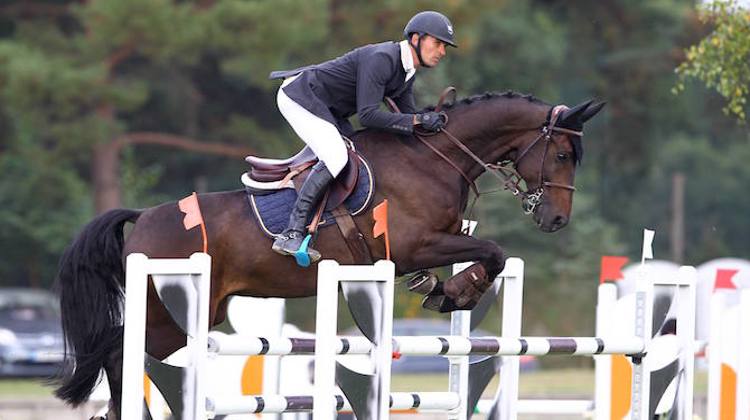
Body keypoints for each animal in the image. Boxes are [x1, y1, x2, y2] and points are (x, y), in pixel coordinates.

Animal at [53, 92, 604, 416]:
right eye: (561, 154)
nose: (555, 220)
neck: (432, 158)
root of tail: (144, 217)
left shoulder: (433, 242)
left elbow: (482, 251)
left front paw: (442, 289)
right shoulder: (414, 244)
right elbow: (492, 250)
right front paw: (456, 292)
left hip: (188, 315)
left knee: (122, 354)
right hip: (173, 311)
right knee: (121, 354)